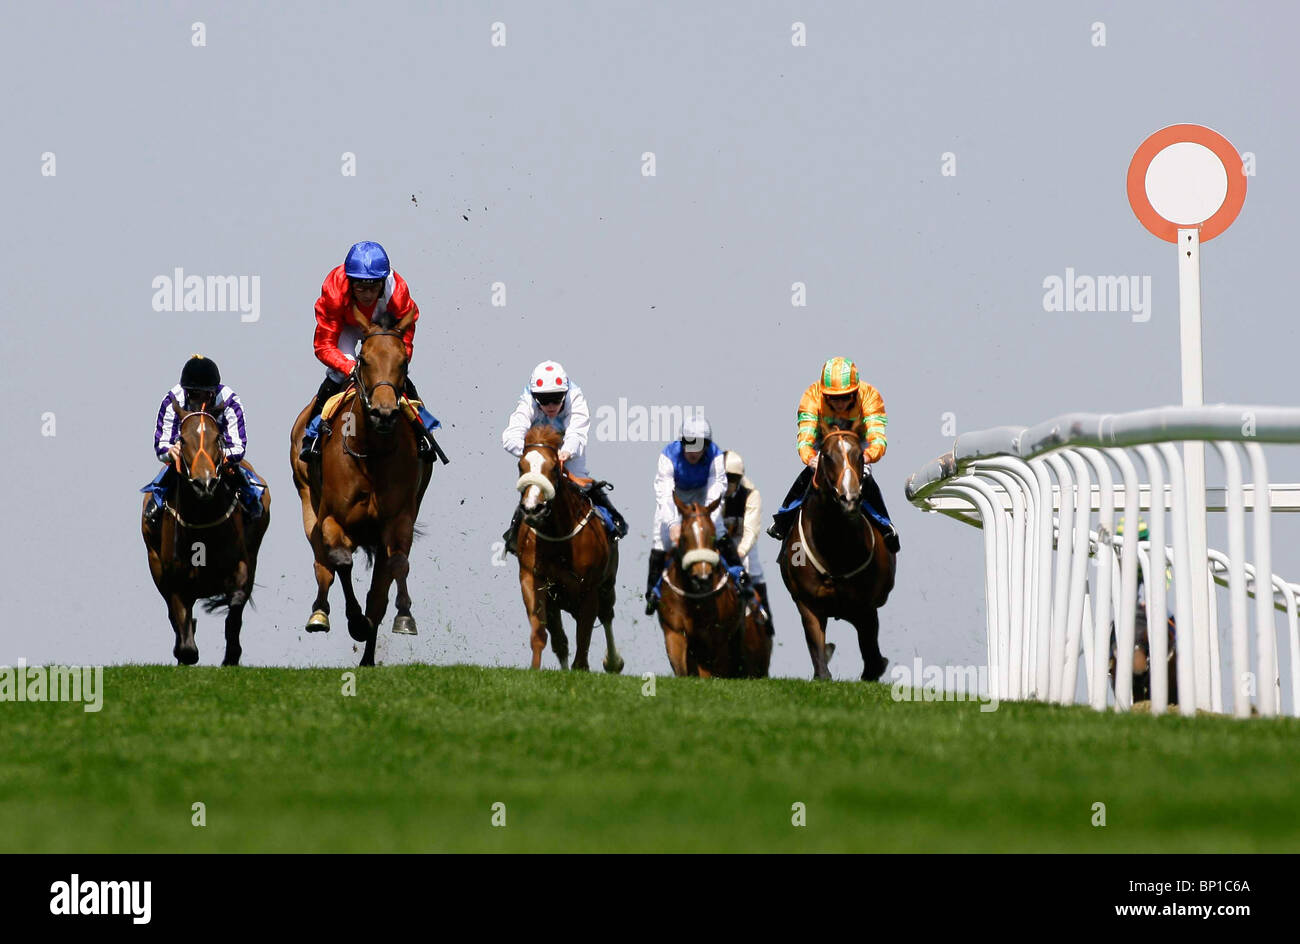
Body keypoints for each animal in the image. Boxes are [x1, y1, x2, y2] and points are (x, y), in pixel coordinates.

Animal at [141, 405, 270, 665]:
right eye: (182, 439)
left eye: (218, 437)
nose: (205, 483)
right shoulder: (175, 579)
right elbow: (186, 643)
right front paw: (185, 648)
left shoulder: (241, 566)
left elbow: (236, 604)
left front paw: (231, 655)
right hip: (154, 563)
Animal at [288, 308, 431, 665]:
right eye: (364, 360)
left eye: (403, 361)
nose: (384, 413)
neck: (371, 453)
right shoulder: (333, 518)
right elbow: (340, 561)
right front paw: (355, 622)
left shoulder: (398, 519)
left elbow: (396, 567)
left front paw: (404, 617)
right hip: (307, 502)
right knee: (323, 564)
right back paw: (320, 613)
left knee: (379, 588)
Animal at [512, 426, 624, 676]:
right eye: (521, 466)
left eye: (554, 467)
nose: (533, 509)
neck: (558, 537)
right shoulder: (534, 580)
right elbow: (542, 634)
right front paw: (535, 670)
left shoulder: (589, 588)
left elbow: (583, 636)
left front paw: (581, 669)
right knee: (560, 640)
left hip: (607, 584)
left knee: (607, 615)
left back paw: (613, 662)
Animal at [655, 496, 764, 681]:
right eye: (684, 536)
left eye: (713, 536)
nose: (702, 576)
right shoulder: (674, 631)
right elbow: (681, 669)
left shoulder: (715, 638)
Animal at [769, 429, 894, 681]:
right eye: (826, 456)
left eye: (860, 456)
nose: (849, 498)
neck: (834, 548)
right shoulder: (808, 603)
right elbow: (818, 657)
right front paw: (822, 669)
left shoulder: (866, 607)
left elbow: (871, 657)